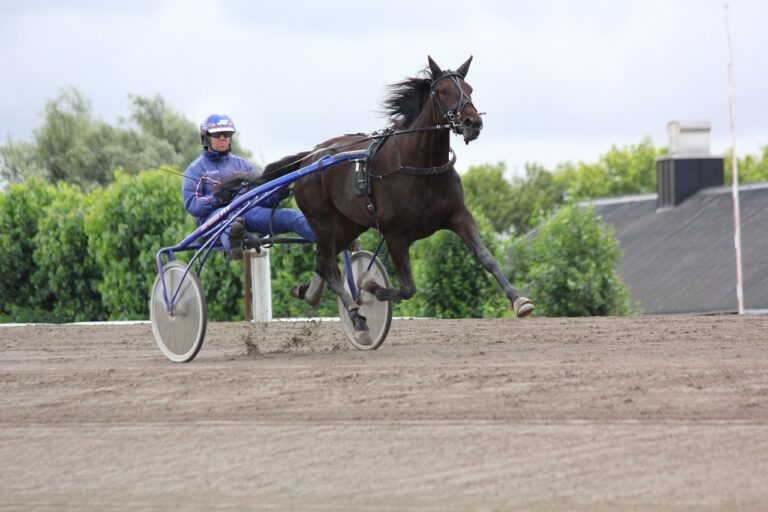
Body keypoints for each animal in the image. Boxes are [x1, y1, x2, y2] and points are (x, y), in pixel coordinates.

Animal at [258, 56, 536, 342]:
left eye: (469, 89)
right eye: (442, 91)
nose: (472, 123)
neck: (421, 167)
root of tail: (309, 158)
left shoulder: (459, 215)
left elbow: (485, 256)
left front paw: (519, 299)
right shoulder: (394, 234)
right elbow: (407, 287)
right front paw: (369, 285)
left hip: (349, 224)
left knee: (323, 261)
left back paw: (310, 293)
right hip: (322, 221)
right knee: (330, 268)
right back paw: (357, 317)